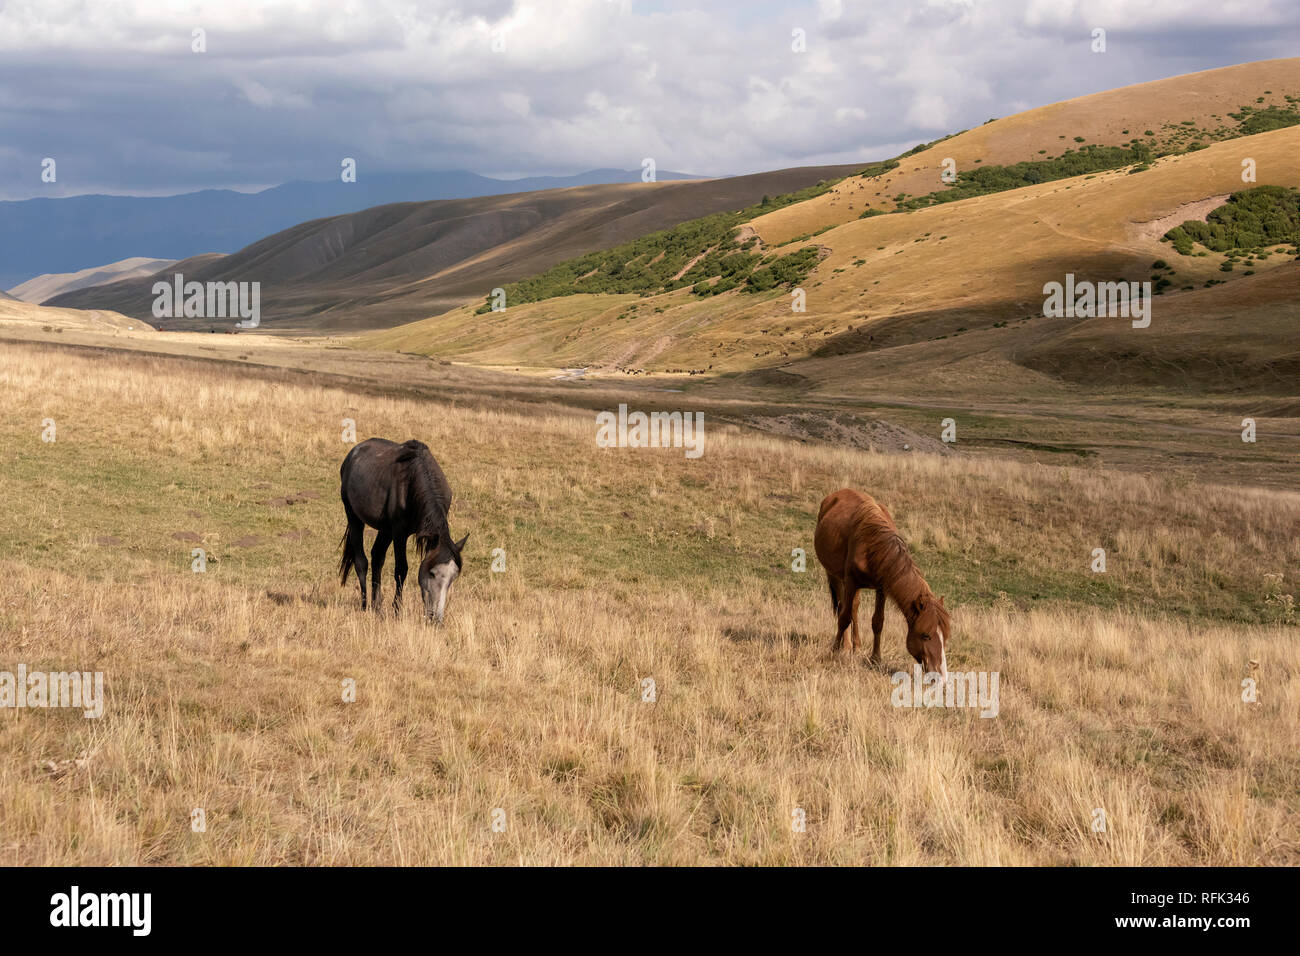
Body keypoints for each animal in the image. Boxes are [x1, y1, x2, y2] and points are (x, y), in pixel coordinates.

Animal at [338, 439, 470, 624]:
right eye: (432, 573)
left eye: (453, 577)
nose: (436, 618)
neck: (415, 481)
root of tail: (353, 453)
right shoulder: (399, 533)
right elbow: (401, 569)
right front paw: (397, 610)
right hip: (354, 517)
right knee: (361, 561)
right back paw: (365, 606)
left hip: (385, 529)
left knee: (377, 557)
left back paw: (377, 607)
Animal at [816, 486, 951, 681]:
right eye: (925, 635)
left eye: (945, 637)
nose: (941, 676)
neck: (872, 545)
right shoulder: (851, 582)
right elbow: (843, 617)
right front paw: (834, 650)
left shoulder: (882, 589)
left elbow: (877, 622)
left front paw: (875, 659)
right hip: (835, 576)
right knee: (844, 608)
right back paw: (846, 646)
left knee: (854, 608)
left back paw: (856, 646)